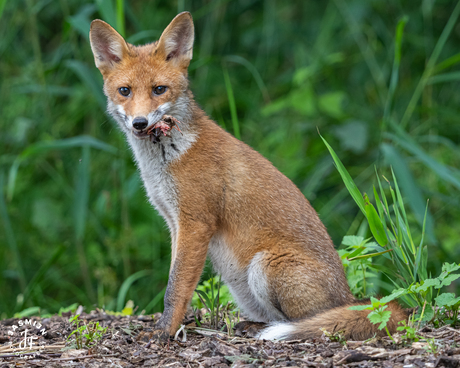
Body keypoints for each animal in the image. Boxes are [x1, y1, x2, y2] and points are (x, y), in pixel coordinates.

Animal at [89, 10, 406, 340]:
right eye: (125, 91)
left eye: (159, 90)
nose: (139, 123)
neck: (167, 158)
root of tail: (349, 297)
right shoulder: (174, 223)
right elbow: (175, 282)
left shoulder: (195, 223)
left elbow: (175, 289)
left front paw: (165, 331)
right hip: (241, 284)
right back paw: (253, 325)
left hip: (265, 266)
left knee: (316, 320)